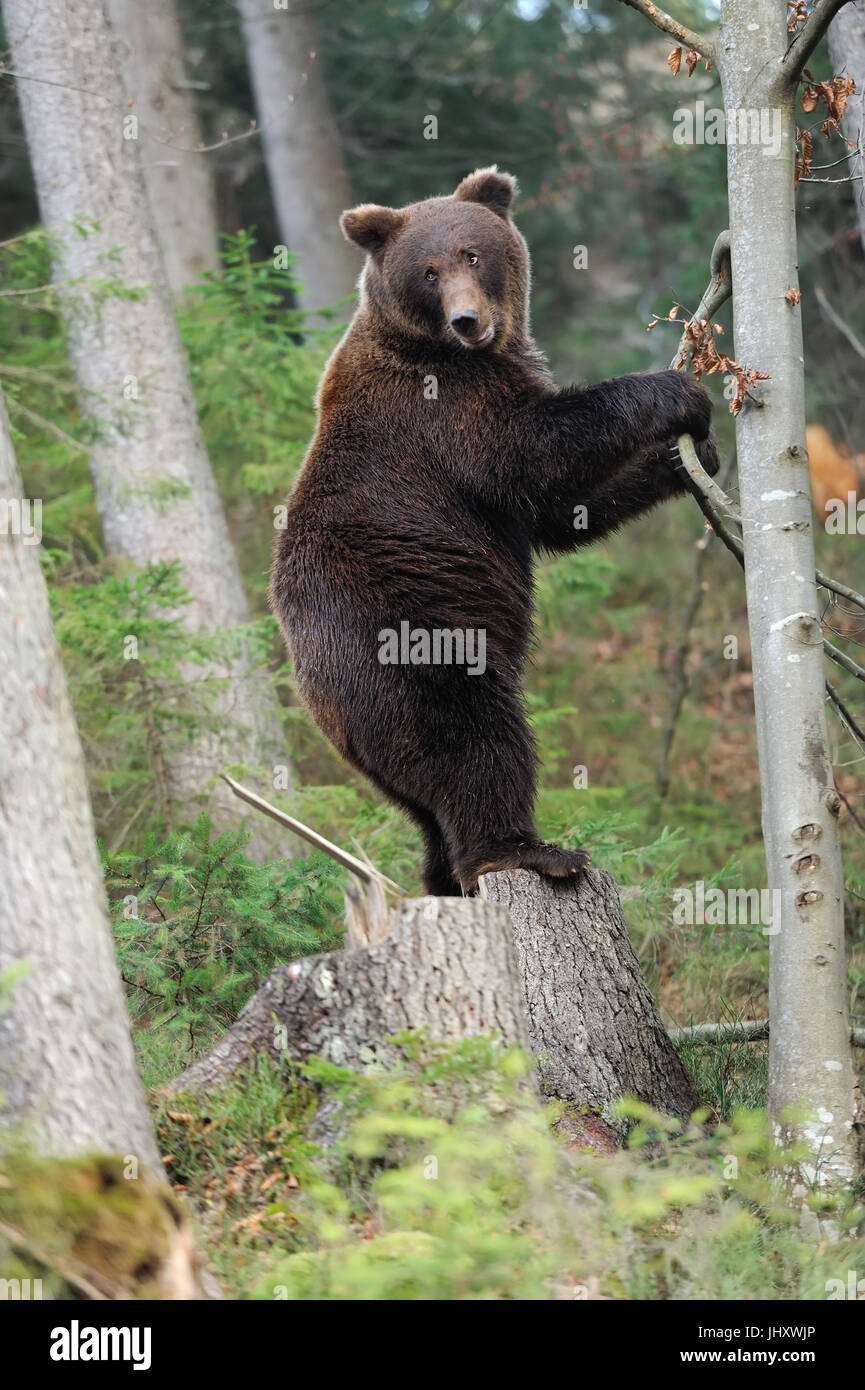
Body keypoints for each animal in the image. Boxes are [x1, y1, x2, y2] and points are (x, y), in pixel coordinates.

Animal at [270, 167, 718, 896]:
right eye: (428, 271)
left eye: (472, 254)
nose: (467, 319)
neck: (459, 351)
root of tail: (317, 702)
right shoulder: (444, 411)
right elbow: (535, 452)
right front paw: (677, 393)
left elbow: (561, 513)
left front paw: (690, 459)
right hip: (406, 638)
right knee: (474, 737)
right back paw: (529, 851)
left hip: (378, 742)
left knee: (427, 808)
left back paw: (445, 877)